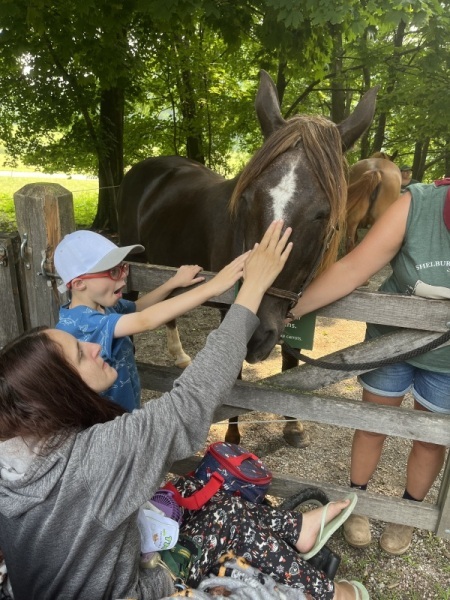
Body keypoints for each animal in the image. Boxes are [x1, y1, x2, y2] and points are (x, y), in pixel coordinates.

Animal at [117, 70, 378, 446]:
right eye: (247, 198)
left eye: (323, 213)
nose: (255, 330)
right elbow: (235, 380)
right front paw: (232, 437)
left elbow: (290, 363)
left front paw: (293, 425)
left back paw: (179, 355)